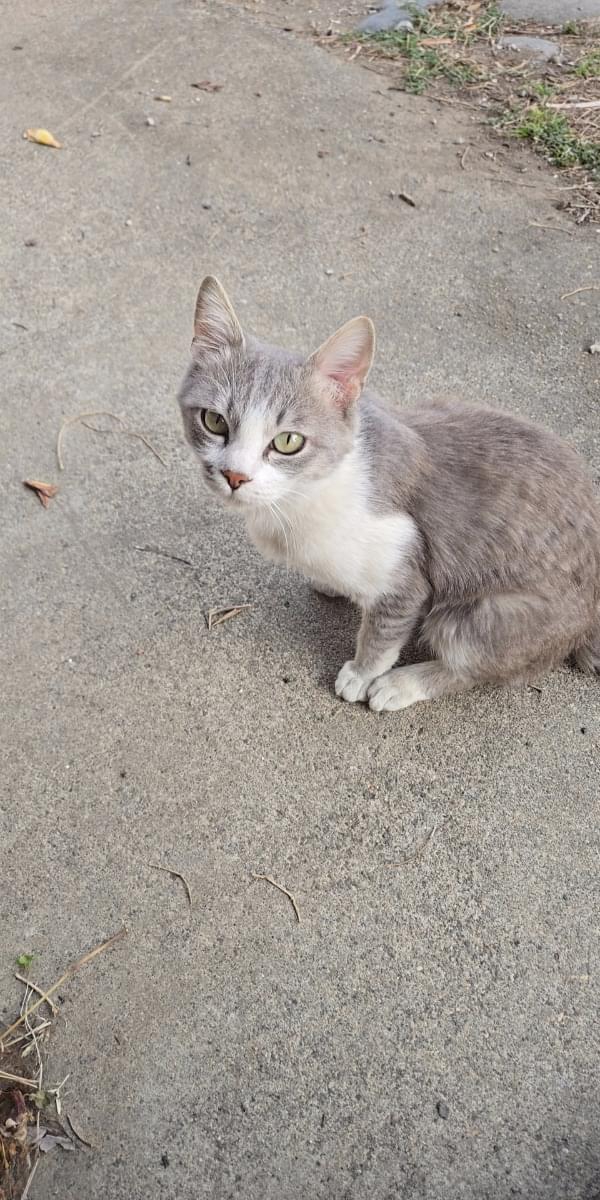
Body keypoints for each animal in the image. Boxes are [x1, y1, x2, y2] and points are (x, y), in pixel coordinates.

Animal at [178, 275, 600, 712]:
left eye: (288, 442)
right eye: (214, 421)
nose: (235, 475)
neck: (302, 498)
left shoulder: (405, 570)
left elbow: (383, 632)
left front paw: (363, 674)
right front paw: (332, 584)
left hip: (485, 616)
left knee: (479, 667)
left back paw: (403, 683)